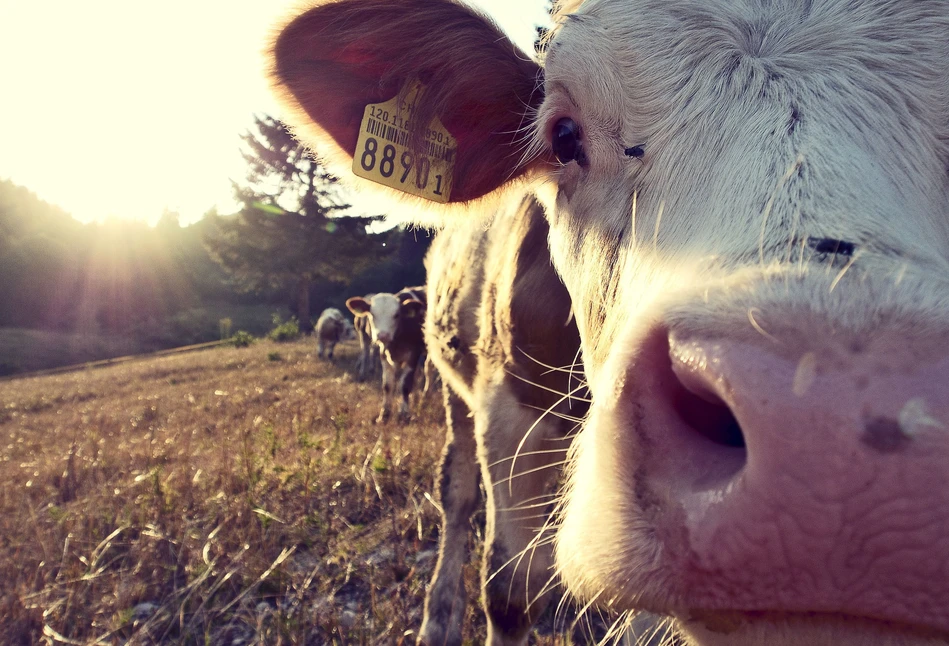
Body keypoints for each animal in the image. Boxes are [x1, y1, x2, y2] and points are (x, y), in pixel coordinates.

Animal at [346, 290, 424, 426]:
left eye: (397, 315)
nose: (383, 335)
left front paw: (404, 415)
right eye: (372, 314)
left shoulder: (414, 356)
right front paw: (384, 416)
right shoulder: (384, 355)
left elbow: (405, 385)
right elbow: (387, 386)